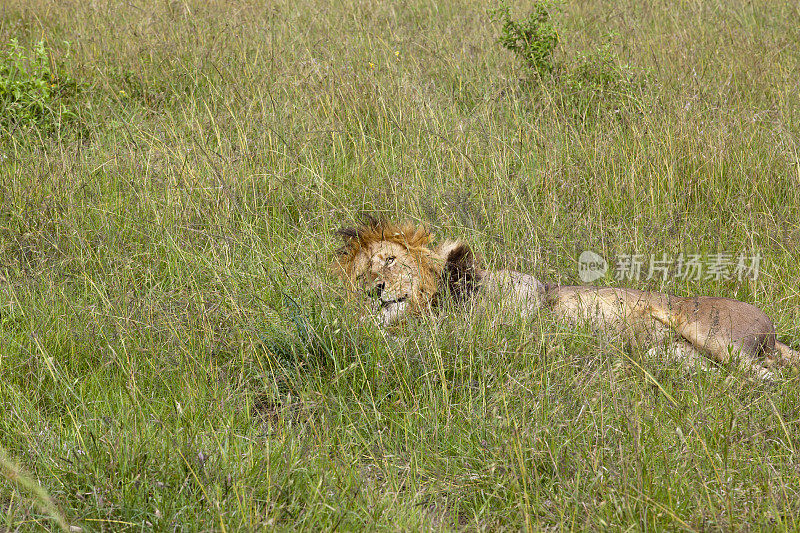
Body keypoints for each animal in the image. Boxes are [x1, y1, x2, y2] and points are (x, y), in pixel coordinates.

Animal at [328, 216, 796, 378]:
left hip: (711, 334)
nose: (374, 288)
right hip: (671, 355)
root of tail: (772, 332)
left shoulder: (524, 299)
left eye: (390, 260)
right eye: (363, 273)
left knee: (767, 376)